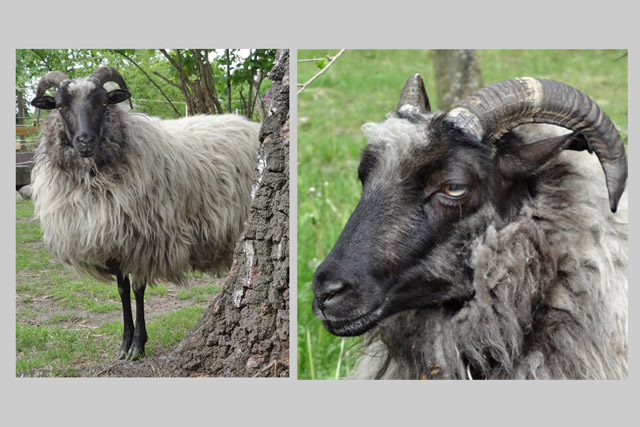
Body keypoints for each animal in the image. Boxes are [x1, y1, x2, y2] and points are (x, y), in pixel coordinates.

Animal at [29, 67, 260, 362]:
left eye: (103, 102)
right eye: (60, 106)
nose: (84, 140)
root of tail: (253, 125)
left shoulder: (145, 240)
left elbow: (138, 290)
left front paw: (137, 346)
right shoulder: (114, 241)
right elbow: (122, 290)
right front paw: (124, 343)